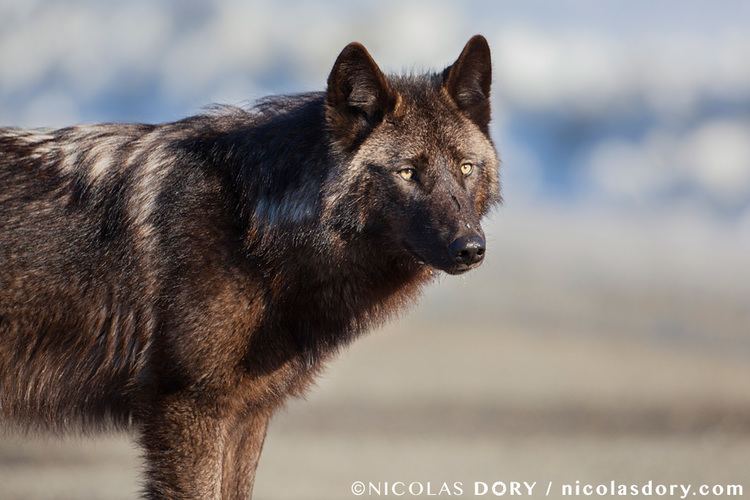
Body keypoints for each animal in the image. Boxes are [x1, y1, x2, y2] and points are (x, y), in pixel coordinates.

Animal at [2, 36, 502, 500]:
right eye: (407, 173)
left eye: (465, 167)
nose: (470, 248)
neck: (254, 229)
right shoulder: (191, 409)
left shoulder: (247, 415)